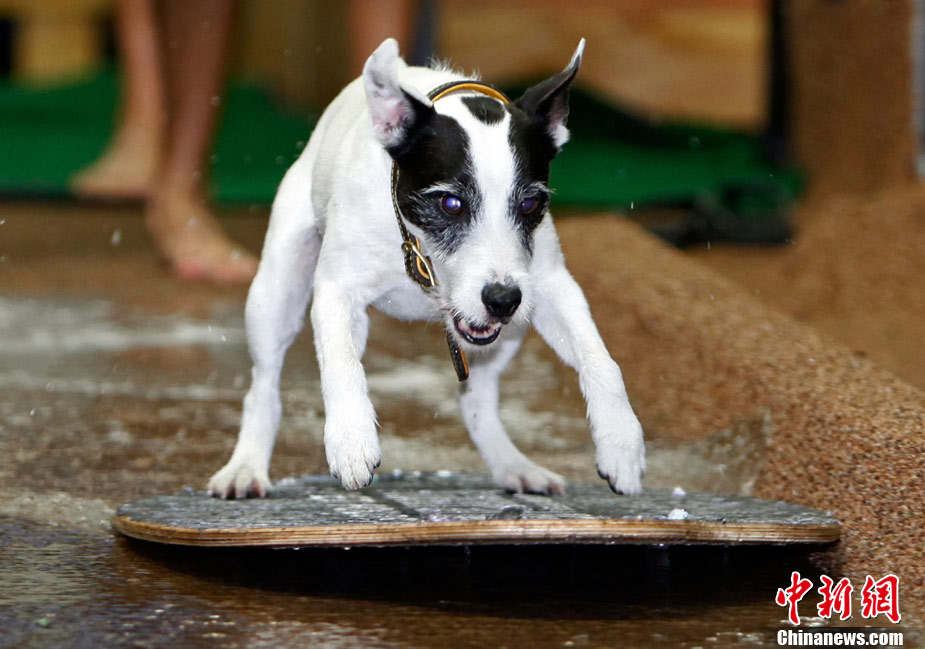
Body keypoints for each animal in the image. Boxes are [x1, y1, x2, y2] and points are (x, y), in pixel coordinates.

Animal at [208, 38, 645, 499]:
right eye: (450, 203)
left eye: (530, 203)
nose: (502, 300)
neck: (415, 244)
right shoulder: (337, 291)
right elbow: (341, 363)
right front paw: (351, 439)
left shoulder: (550, 286)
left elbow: (602, 361)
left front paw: (621, 443)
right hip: (276, 291)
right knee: (264, 384)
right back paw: (246, 466)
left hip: (511, 331)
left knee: (476, 399)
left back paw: (512, 465)